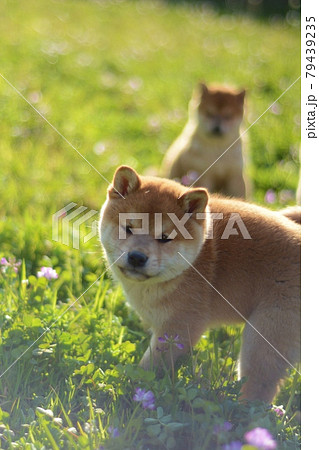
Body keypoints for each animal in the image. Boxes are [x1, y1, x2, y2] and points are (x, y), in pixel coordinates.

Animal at [100, 166, 302, 404]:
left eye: (164, 238)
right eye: (128, 228)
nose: (137, 257)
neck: (192, 263)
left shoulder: (179, 327)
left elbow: (150, 366)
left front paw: (135, 387)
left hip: (264, 338)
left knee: (258, 390)